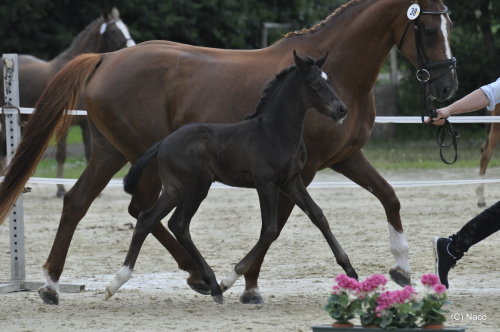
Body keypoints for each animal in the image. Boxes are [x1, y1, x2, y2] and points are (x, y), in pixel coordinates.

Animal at [0, 7, 135, 197]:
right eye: (114, 30)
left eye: (126, 28)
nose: (132, 47)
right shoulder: (64, 123)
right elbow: (62, 155)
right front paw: (60, 189)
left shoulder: (85, 124)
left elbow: (88, 153)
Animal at [105, 52, 356, 304]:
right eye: (315, 84)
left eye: (329, 81)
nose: (341, 109)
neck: (275, 132)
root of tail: (163, 142)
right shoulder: (266, 184)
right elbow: (269, 230)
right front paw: (230, 278)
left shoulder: (292, 181)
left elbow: (318, 215)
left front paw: (351, 271)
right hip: (196, 188)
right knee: (179, 224)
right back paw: (214, 286)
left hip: (174, 189)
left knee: (147, 219)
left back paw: (116, 282)